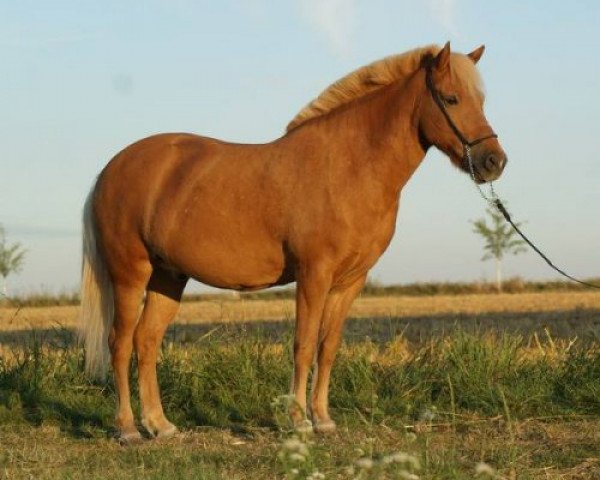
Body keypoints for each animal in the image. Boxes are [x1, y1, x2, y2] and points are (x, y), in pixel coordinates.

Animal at [79, 42, 506, 442]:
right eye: (451, 98)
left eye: (481, 100)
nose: (494, 162)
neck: (349, 166)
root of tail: (110, 169)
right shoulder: (313, 275)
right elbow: (302, 344)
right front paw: (298, 421)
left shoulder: (350, 282)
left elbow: (327, 347)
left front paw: (323, 419)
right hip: (130, 274)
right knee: (120, 343)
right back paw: (128, 428)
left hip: (168, 277)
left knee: (147, 341)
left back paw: (160, 425)